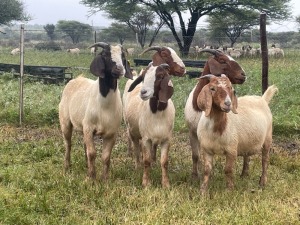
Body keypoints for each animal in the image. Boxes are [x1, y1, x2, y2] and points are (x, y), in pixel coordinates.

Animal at [58, 41, 132, 180]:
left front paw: (105, 179)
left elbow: (106, 157)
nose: (119, 69)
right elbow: (92, 153)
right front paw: (92, 177)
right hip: (65, 121)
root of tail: (77, 79)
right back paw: (66, 166)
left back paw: (86, 165)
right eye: (105, 54)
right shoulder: (89, 127)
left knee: (84, 145)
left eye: (123, 56)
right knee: (68, 144)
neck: (104, 106)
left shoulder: (111, 132)